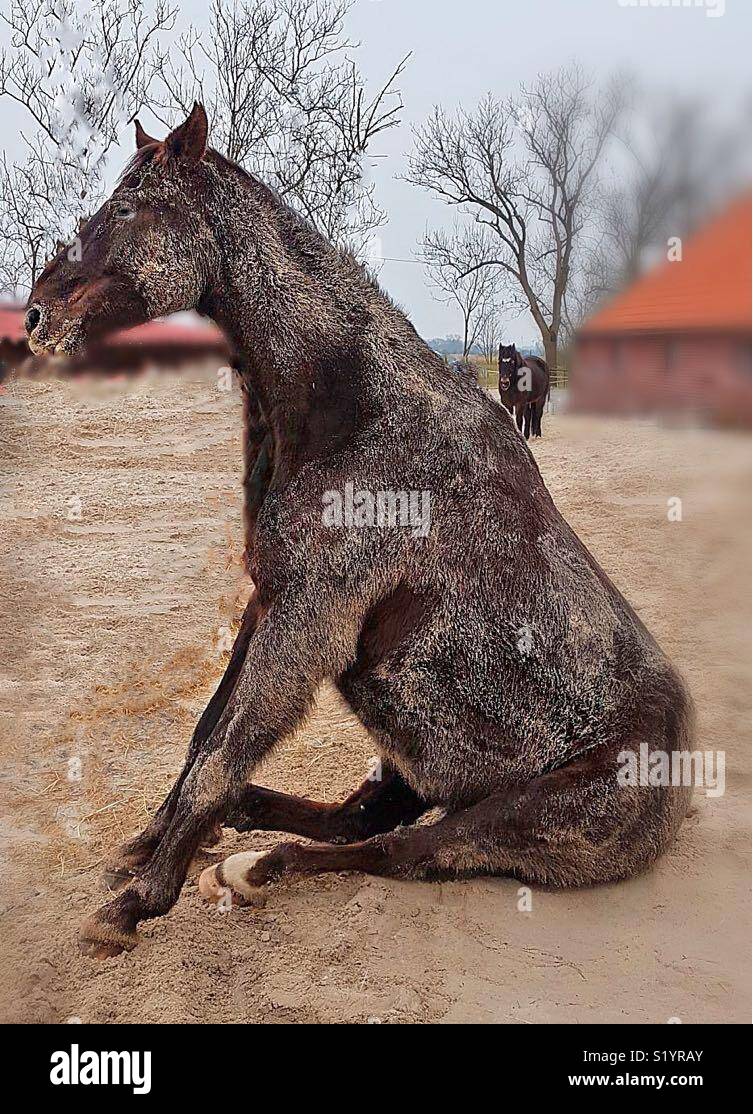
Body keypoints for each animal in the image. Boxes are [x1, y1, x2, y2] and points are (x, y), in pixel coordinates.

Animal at [25, 104, 693, 959]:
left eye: (128, 207)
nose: (38, 316)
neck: (357, 414)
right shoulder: (269, 603)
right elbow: (205, 735)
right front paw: (146, 847)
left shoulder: (306, 623)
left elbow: (221, 756)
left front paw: (138, 900)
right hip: (409, 769)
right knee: (355, 819)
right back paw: (241, 837)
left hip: (509, 818)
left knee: (397, 850)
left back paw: (250, 867)